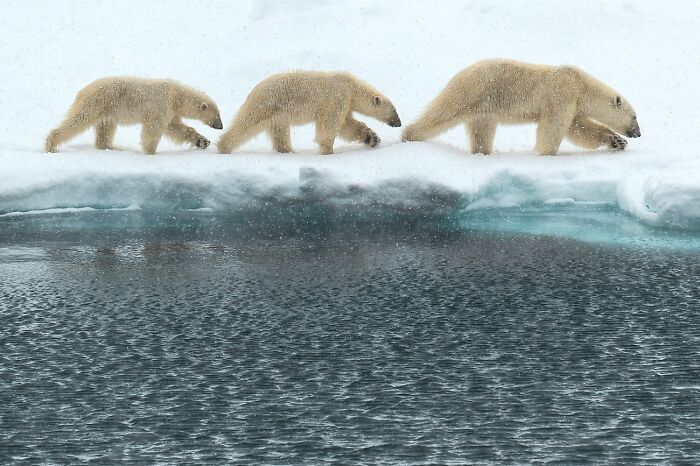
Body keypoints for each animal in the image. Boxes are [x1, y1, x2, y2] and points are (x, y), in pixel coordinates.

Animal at [45, 77, 224, 155]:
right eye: (217, 115)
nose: (221, 126)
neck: (176, 95)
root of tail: (82, 91)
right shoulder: (160, 105)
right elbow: (154, 129)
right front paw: (150, 152)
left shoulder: (170, 111)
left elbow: (176, 128)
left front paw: (203, 141)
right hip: (96, 103)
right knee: (78, 120)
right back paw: (51, 145)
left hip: (107, 110)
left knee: (106, 128)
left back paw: (112, 147)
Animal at [217, 71, 402, 155]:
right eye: (394, 111)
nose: (399, 123)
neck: (352, 87)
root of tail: (253, 90)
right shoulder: (337, 98)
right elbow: (330, 124)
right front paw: (327, 150)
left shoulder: (345, 103)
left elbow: (347, 125)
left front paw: (373, 138)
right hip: (267, 104)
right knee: (246, 123)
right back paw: (223, 146)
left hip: (278, 115)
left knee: (280, 132)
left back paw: (288, 151)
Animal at [401, 59, 641, 155]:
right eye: (635, 117)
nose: (638, 133)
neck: (581, 84)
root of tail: (459, 74)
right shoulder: (561, 94)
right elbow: (554, 127)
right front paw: (547, 153)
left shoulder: (573, 103)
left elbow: (579, 127)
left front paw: (617, 141)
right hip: (472, 91)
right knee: (441, 113)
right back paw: (409, 135)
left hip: (483, 109)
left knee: (481, 131)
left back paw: (482, 152)